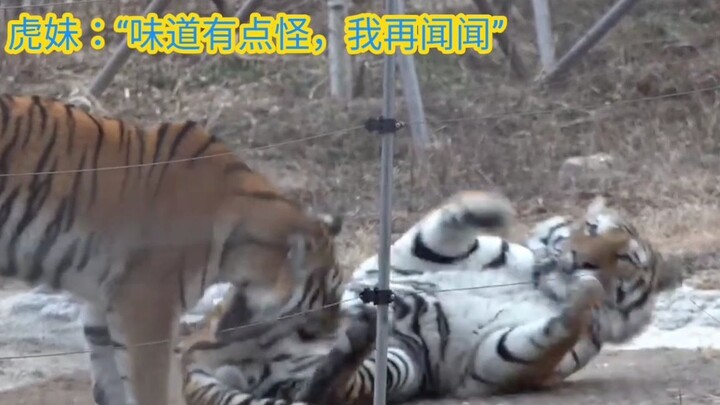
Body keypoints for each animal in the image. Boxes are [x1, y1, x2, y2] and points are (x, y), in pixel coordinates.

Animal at [0, 94, 343, 405]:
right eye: (331, 291)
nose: (335, 332)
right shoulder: (147, 306)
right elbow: (154, 389)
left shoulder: (102, 304)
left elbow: (110, 385)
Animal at [176, 190, 682, 404]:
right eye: (592, 228)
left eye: (624, 259)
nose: (579, 259)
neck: (539, 281)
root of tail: (195, 367)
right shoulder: (415, 253)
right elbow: (446, 223)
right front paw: (493, 207)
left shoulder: (493, 361)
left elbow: (544, 335)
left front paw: (585, 295)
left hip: (397, 364)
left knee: (315, 390)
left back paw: (353, 335)